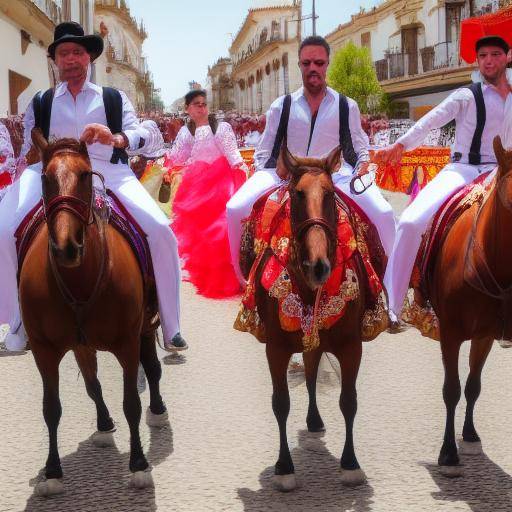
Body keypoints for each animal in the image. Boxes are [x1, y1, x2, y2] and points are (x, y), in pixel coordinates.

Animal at [19, 132, 168, 496]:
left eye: (86, 175)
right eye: (45, 178)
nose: (66, 247)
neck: (80, 280)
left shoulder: (128, 341)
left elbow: (131, 403)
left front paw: (138, 463)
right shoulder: (44, 349)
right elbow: (52, 407)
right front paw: (53, 470)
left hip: (143, 327)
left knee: (151, 368)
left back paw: (157, 409)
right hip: (81, 343)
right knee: (92, 382)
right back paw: (103, 422)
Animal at [253, 146, 370, 490]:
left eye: (330, 194)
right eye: (297, 194)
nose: (318, 266)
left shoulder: (351, 346)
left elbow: (348, 401)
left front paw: (350, 463)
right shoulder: (276, 348)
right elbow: (280, 403)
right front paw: (284, 467)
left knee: (312, 370)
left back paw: (315, 420)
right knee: (308, 371)